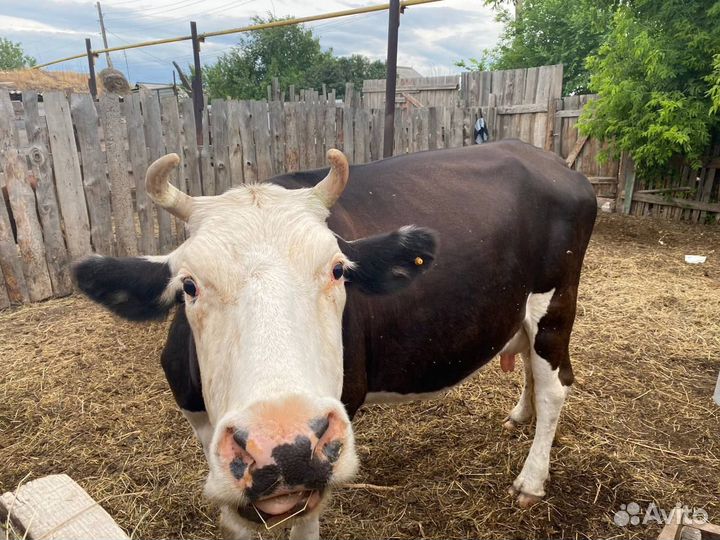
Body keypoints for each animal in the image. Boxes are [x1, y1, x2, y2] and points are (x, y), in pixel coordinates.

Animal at [73, 140, 597, 539]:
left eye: (339, 270)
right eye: (189, 285)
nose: (282, 445)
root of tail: (552, 161)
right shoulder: (203, 428)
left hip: (555, 303)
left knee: (555, 385)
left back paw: (530, 480)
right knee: (531, 367)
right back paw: (519, 415)